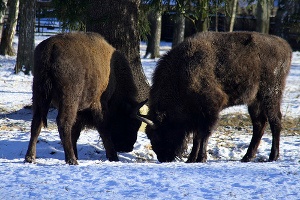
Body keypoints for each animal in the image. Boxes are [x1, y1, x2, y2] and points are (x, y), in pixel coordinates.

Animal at [24, 32, 142, 164]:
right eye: (131, 123)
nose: (127, 147)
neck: (115, 75)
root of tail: (50, 48)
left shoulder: (80, 111)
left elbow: (75, 132)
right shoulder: (98, 103)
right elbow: (103, 128)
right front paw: (113, 157)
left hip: (39, 94)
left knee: (36, 123)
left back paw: (30, 157)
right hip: (69, 99)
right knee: (63, 123)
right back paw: (71, 160)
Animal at [139, 30, 292, 162]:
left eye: (160, 132)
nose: (163, 158)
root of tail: (286, 46)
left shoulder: (210, 110)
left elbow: (204, 134)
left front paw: (201, 158)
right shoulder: (196, 115)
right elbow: (196, 136)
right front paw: (191, 159)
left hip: (270, 95)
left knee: (275, 121)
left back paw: (273, 156)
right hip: (254, 101)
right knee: (259, 124)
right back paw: (246, 157)